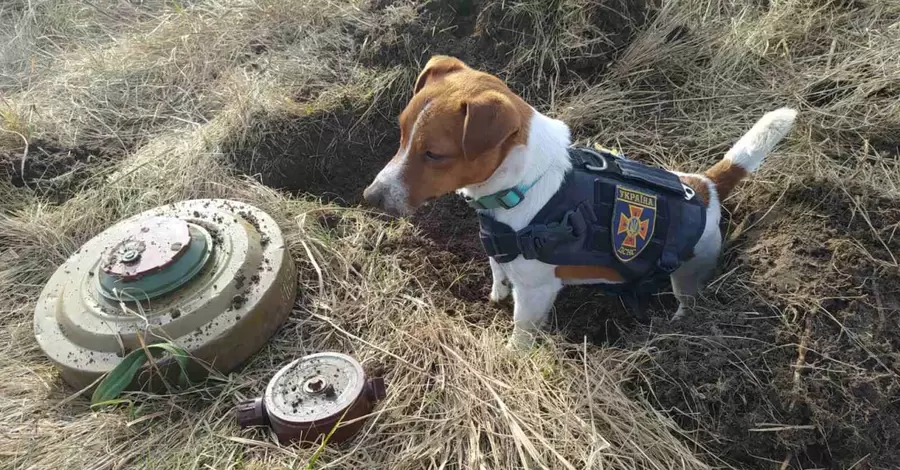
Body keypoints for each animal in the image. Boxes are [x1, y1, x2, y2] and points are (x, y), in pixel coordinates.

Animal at [362, 55, 800, 350]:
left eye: (435, 154)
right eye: (401, 132)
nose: (370, 196)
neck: (523, 184)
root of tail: (706, 185)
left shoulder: (536, 292)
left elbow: (521, 330)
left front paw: (511, 355)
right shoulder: (499, 252)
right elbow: (498, 273)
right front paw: (494, 295)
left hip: (691, 272)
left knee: (688, 299)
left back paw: (677, 325)